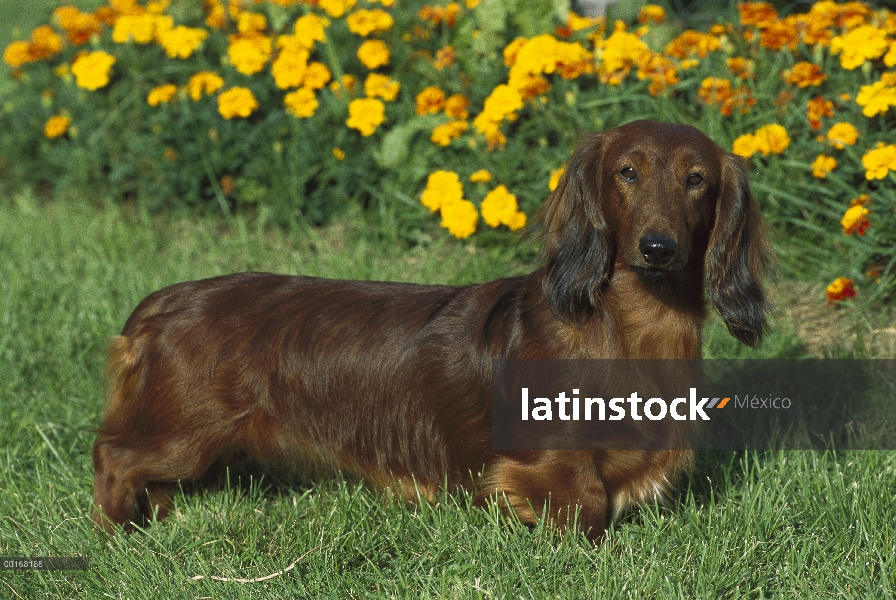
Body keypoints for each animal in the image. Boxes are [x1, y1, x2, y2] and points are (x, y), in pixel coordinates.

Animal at [94, 120, 772, 540]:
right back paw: (118, 534)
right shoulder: (548, 459)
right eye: (626, 173)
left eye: (696, 179)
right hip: (185, 430)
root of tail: (157, 306)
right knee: (114, 455)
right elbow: (583, 505)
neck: (628, 328)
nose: (658, 248)